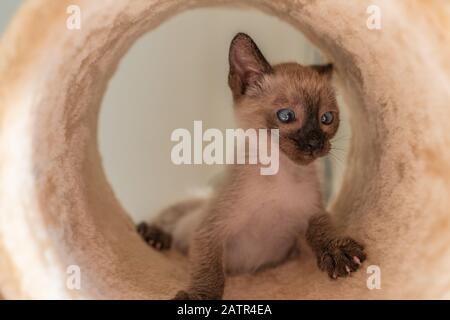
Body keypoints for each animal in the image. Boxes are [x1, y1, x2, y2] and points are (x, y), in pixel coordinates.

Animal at [137, 33, 366, 300]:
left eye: (327, 119)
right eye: (286, 116)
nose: (315, 143)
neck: (280, 171)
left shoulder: (310, 216)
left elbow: (322, 228)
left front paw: (337, 252)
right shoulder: (210, 231)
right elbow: (210, 271)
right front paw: (200, 297)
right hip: (193, 205)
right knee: (168, 218)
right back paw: (153, 235)